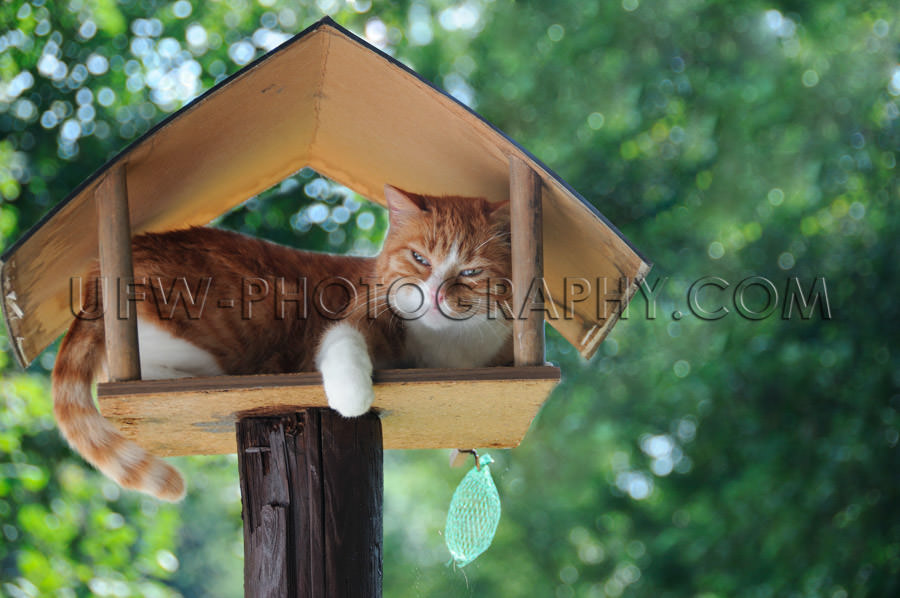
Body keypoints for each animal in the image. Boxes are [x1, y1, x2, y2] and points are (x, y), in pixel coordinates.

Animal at [49, 185, 512, 504]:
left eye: (470, 272)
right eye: (420, 260)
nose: (434, 294)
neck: (444, 343)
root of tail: (98, 277)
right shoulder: (351, 319)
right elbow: (343, 346)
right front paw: (354, 397)